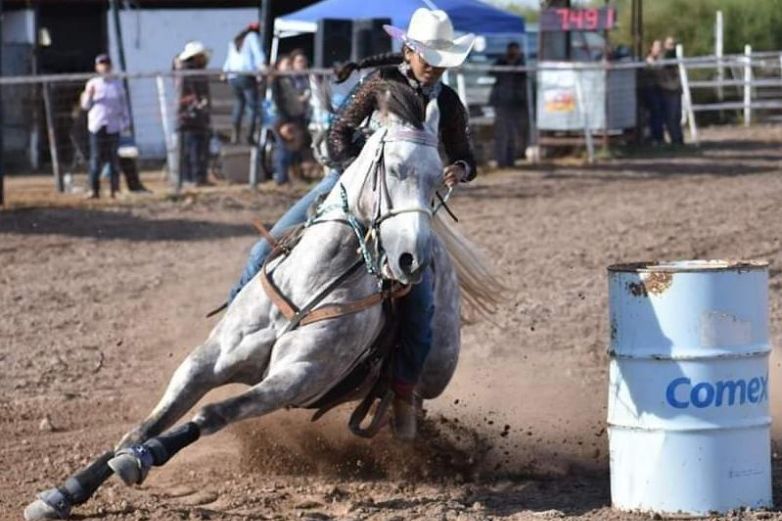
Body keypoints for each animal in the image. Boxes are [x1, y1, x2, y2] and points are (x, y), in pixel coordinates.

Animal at [26, 87, 502, 516]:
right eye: (397, 169)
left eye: (439, 176)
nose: (410, 259)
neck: (312, 283)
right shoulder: (208, 359)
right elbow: (147, 422)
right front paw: (65, 492)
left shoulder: (296, 378)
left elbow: (212, 413)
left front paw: (141, 459)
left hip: (434, 370)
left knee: (411, 399)